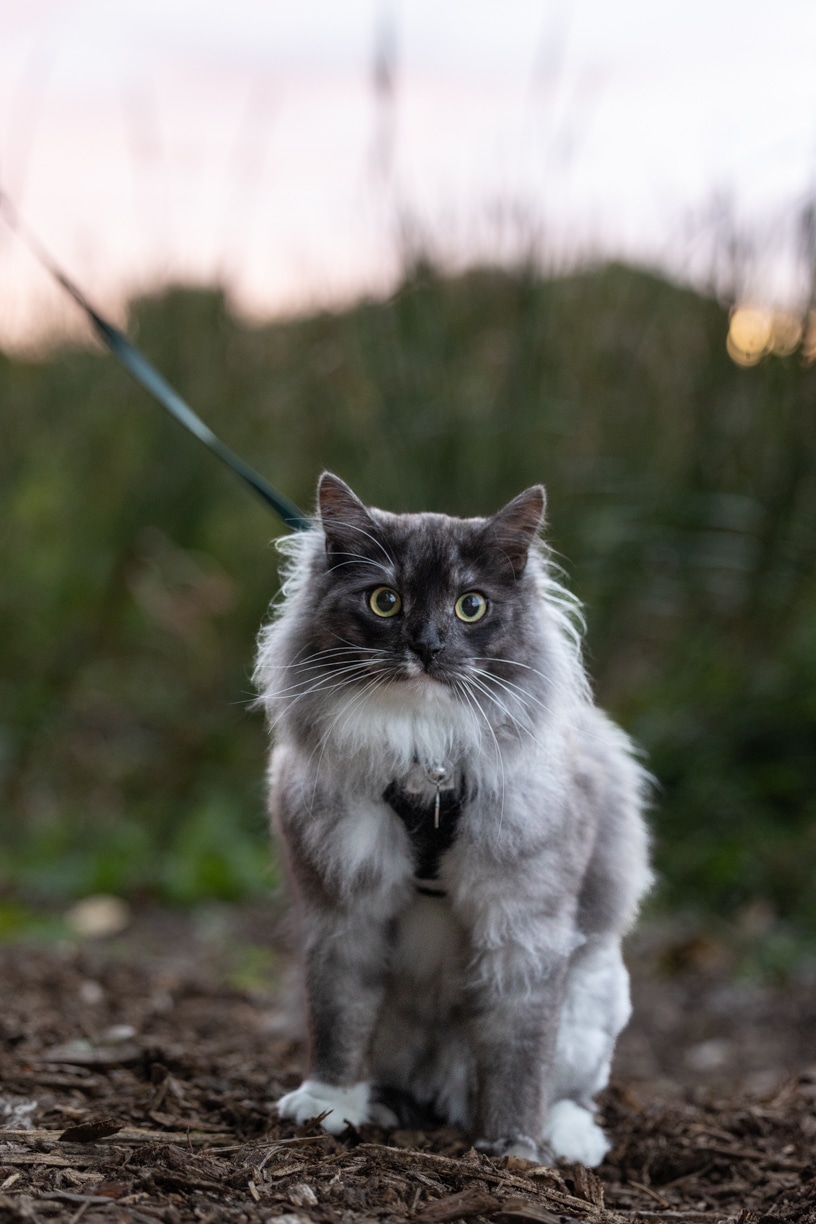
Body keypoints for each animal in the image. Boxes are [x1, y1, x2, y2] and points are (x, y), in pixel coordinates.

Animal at [255, 467, 650, 1165]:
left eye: (472, 606)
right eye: (385, 601)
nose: (427, 646)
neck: (424, 761)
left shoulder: (524, 928)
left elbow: (519, 1054)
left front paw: (514, 1148)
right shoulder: (345, 913)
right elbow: (338, 1018)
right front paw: (328, 1106)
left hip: (592, 994)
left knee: (571, 1091)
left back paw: (567, 1141)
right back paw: (388, 1106)